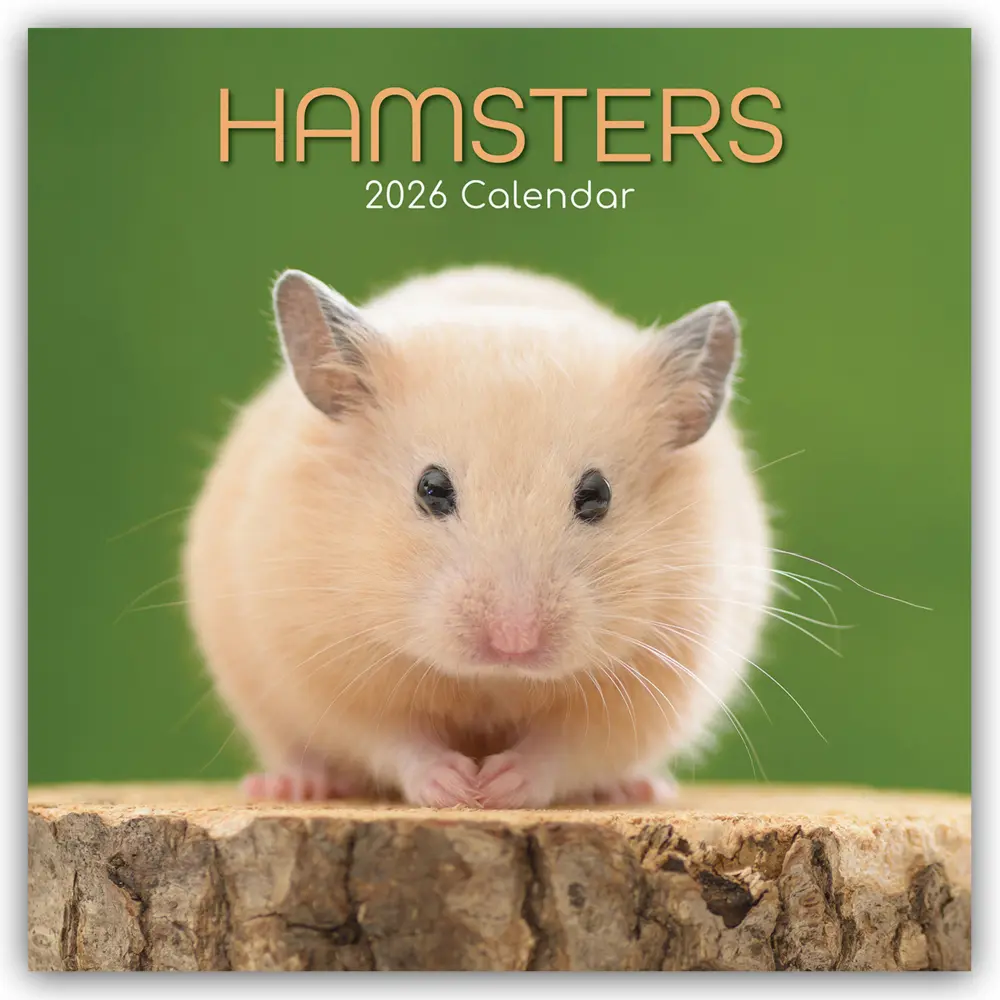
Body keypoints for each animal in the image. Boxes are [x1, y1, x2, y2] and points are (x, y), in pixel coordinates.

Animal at [182, 265, 772, 808]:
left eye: (597, 494)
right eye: (431, 488)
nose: (514, 642)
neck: (493, 681)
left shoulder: (652, 686)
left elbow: (564, 749)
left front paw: (499, 787)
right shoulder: (323, 669)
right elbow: (394, 739)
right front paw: (457, 787)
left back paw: (640, 790)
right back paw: (293, 785)